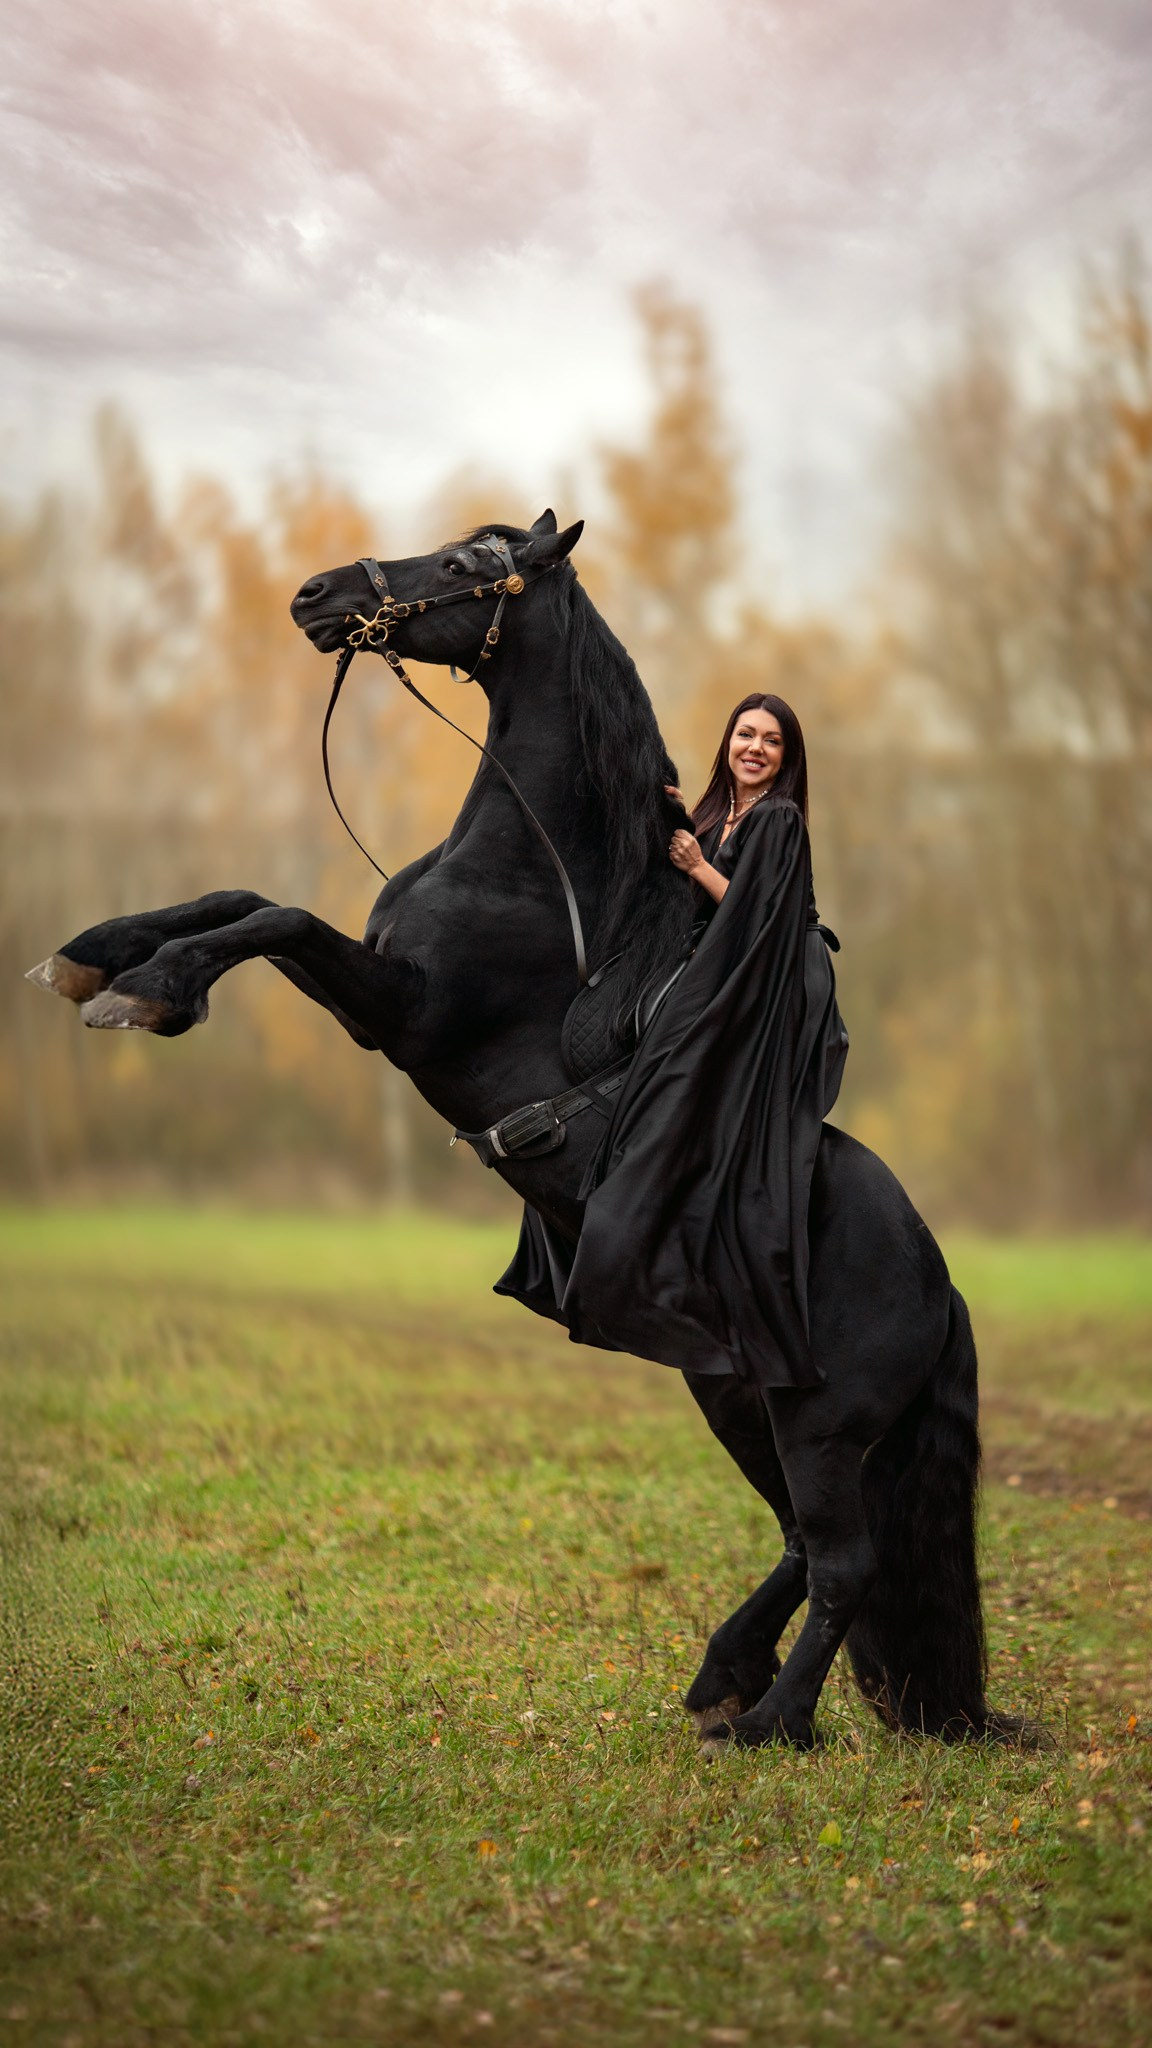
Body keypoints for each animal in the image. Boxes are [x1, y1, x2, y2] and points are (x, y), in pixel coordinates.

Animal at [26, 510, 1021, 1751]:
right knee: (804, 1543)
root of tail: (944, 1285)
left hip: (825, 1423)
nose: (315, 595)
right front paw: (97, 954)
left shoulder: (402, 1012)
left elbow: (275, 914)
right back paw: (722, 1676)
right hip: (741, 1396)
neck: (539, 877)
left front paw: (153, 989)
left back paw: (769, 1720)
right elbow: (237, 896)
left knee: (845, 1560)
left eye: (463, 564)